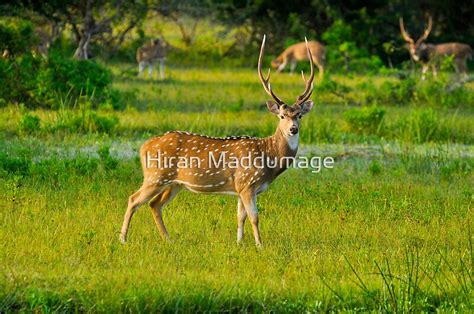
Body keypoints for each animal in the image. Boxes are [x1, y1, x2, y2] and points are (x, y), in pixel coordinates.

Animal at [120, 34, 316, 248]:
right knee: (133, 199)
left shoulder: (241, 188)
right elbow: (254, 217)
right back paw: (123, 239)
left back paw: (168, 239)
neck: (269, 157)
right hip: (155, 176)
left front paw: (239, 243)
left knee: (154, 204)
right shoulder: (247, 183)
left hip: (174, 183)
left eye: (299, 115)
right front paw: (260, 246)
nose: (293, 129)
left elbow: (240, 217)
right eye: (281, 116)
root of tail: (143, 147)